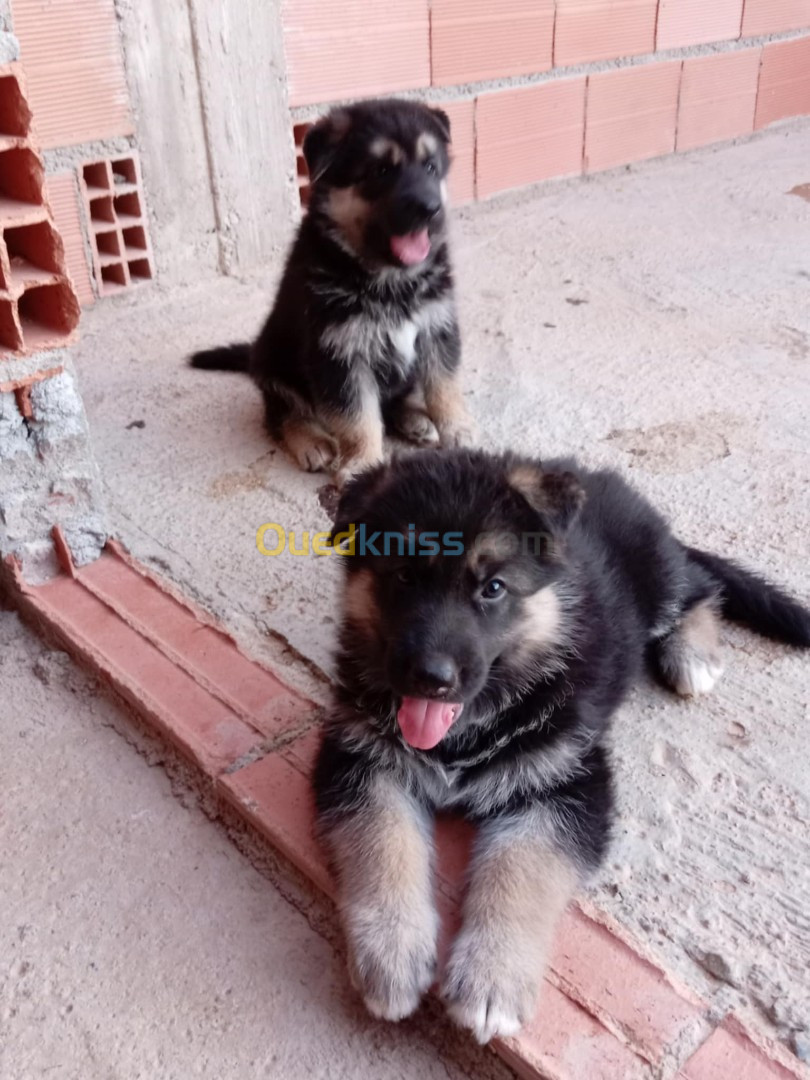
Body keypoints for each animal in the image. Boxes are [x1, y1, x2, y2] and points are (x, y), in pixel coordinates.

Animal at [190, 97, 473, 486]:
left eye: (431, 167)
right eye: (381, 171)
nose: (432, 210)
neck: (387, 278)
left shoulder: (437, 329)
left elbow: (445, 386)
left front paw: (456, 429)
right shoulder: (339, 353)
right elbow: (357, 417)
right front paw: (363, 463)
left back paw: (415, 418)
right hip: (273, 363)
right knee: (281, 414)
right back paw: (311, 441)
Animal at [313, 444, 810, 1036]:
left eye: (493, 588)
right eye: (404, 576)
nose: (431, 678)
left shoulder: (565, 782)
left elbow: (522, 867)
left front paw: (492, 981)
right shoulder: (361, 762)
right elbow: (382, 841)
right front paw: (390, 956)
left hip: (655, 576)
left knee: (700, 586)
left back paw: (693, 654)